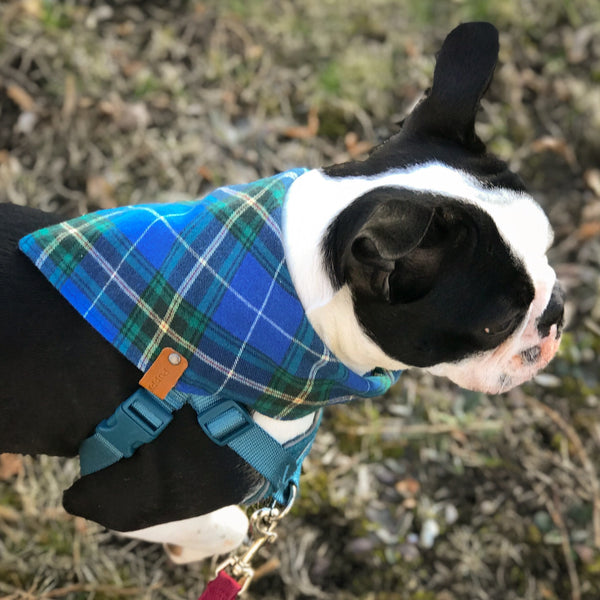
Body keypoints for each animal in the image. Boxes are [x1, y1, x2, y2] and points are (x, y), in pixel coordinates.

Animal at [1, 19, 564, 564]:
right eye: (497, 323)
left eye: (549, 250)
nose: (556, 311)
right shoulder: (116, 499)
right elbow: (229, 525)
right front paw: (188, 551)